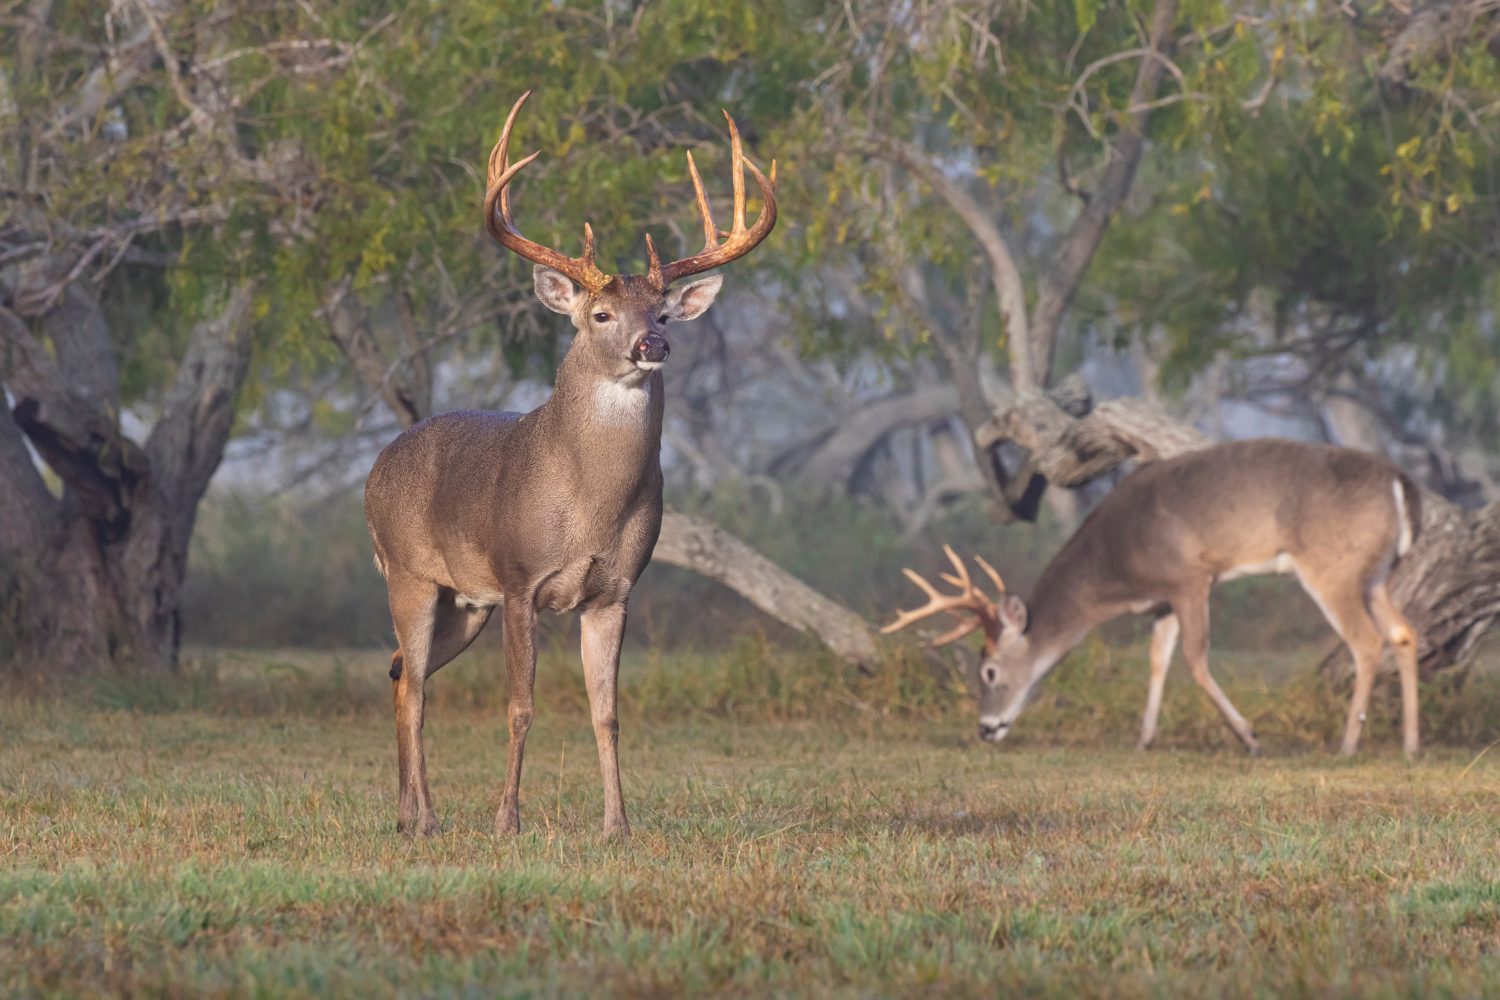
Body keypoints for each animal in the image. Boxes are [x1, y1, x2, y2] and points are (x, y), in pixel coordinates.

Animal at [363, 91, 776, 838]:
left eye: (664, 311)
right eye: (602, 313)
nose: (653, 345)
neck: (588, 505)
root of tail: (375, 469)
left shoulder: (613, 590)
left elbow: (607, 712)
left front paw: (618, 826)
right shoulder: (519, 579)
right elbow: (520, 706)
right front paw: (507, 822)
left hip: (464, 602)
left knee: (403, 674)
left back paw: (409, 815)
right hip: (408, 572)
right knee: (413, 687)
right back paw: (428, 819)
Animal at [882, 439, 1425, 757]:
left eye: (989, 671)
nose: (985, 728)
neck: (1118, 566)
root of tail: (1401, 482)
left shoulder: (1191, 575)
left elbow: (1195, 659)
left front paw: (1249, 736)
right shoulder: (1163, 600)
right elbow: (1157, 659)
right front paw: (1144, 738)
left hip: (1331, 565)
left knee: (1366, 643)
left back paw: (1348, 745)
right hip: (1376, 573)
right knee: (1404, 633)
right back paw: (1410, 744)